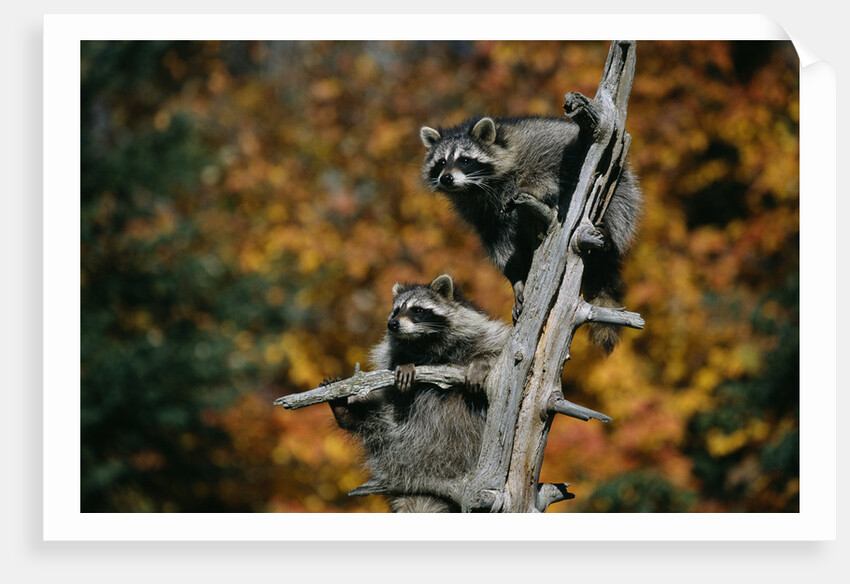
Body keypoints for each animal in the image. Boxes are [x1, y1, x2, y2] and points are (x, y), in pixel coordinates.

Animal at [326, 274, 510, 512]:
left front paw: (480, 364)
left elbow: (495, 349)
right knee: (376, 423)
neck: (425, 342)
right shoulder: (389, 354)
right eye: (396, 310)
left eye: (418, 310)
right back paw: (346, 413)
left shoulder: (482, 333)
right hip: (396, 441)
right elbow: (391, 383)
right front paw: (404, 365)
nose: (392, 324)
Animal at [420, 115, 642, 354]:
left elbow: (550, 168)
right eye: (441, 162)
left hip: (621, 187)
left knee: (618, 210)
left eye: (464, 160)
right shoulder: (484, 216)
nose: (446, 178)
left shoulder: (540, 147)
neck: (478, 187)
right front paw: (516, 278)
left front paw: (529, 186)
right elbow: (501, 246)